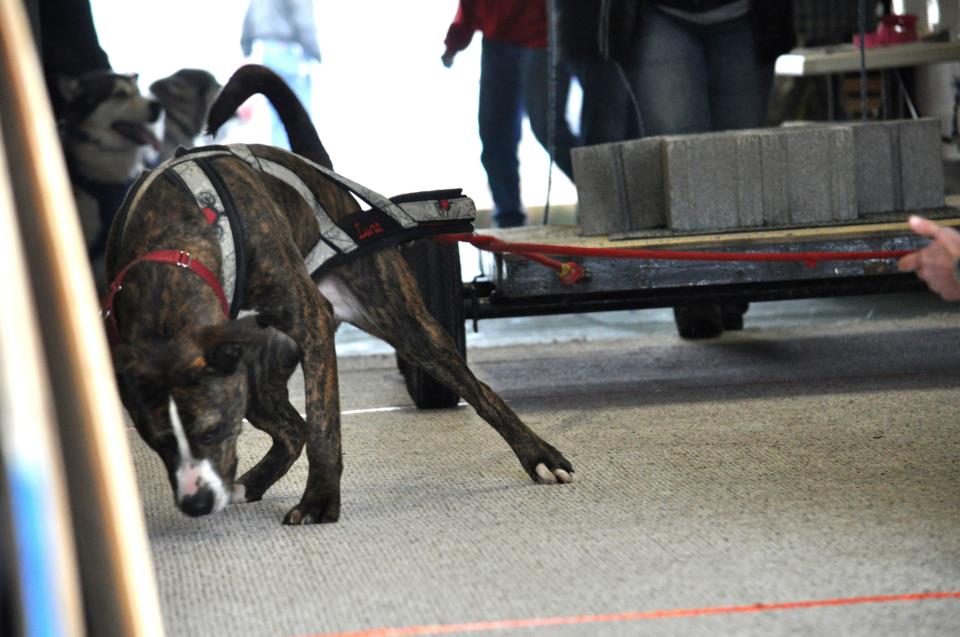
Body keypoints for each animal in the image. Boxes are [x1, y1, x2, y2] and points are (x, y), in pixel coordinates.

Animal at [107, 64, 568, 524]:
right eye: (158, 442)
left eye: (213, 429)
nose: (196, 503)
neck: (174, 252)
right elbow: (308, 428)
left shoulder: (312, 322)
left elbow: (324, 426)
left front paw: (320, 500)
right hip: (255, 376)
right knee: (292, 430)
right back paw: (250, 484)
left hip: (408, 325)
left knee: (478, 390)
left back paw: (541, 457)